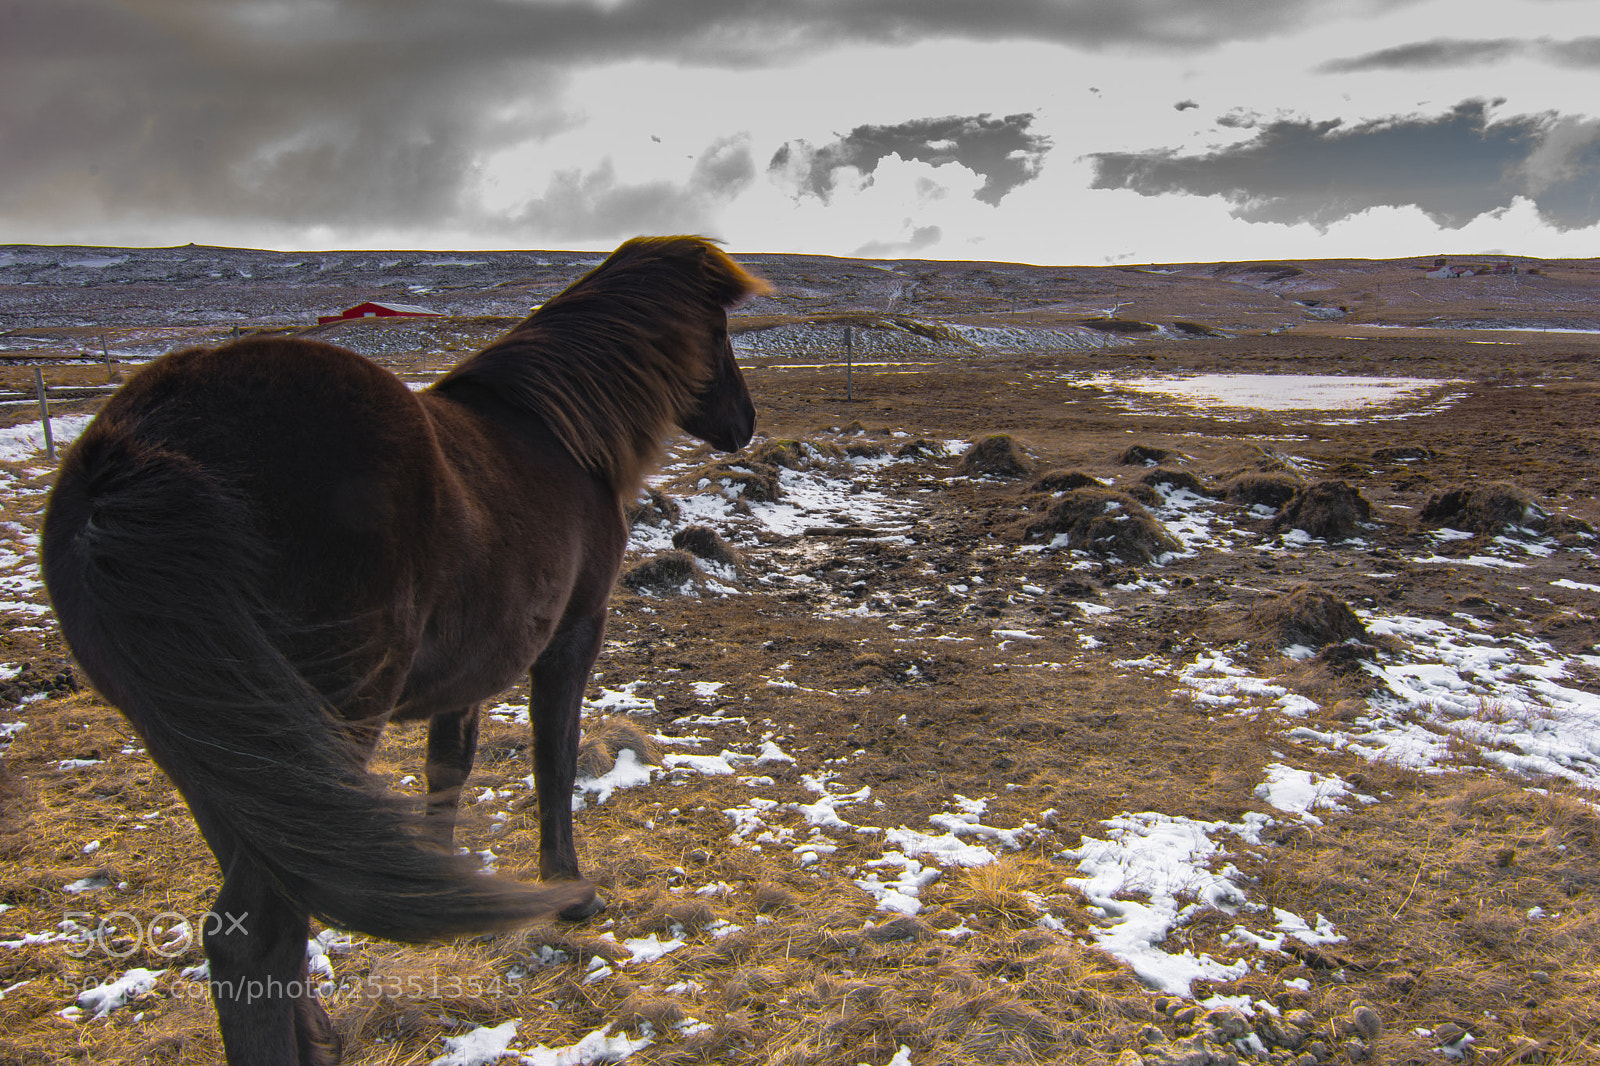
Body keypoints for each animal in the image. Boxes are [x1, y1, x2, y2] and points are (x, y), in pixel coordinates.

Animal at [41, 235, 768, 1065]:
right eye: (719, 333)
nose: (745, 422)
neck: (560, 433)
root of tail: (130, 451)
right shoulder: (572, 635)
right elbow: (554, 760)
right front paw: (571, 891)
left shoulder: (466, 677)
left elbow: (447, 770)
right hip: (325, 714)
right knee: (251, 934)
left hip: (221, 751)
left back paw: (320, 1036)